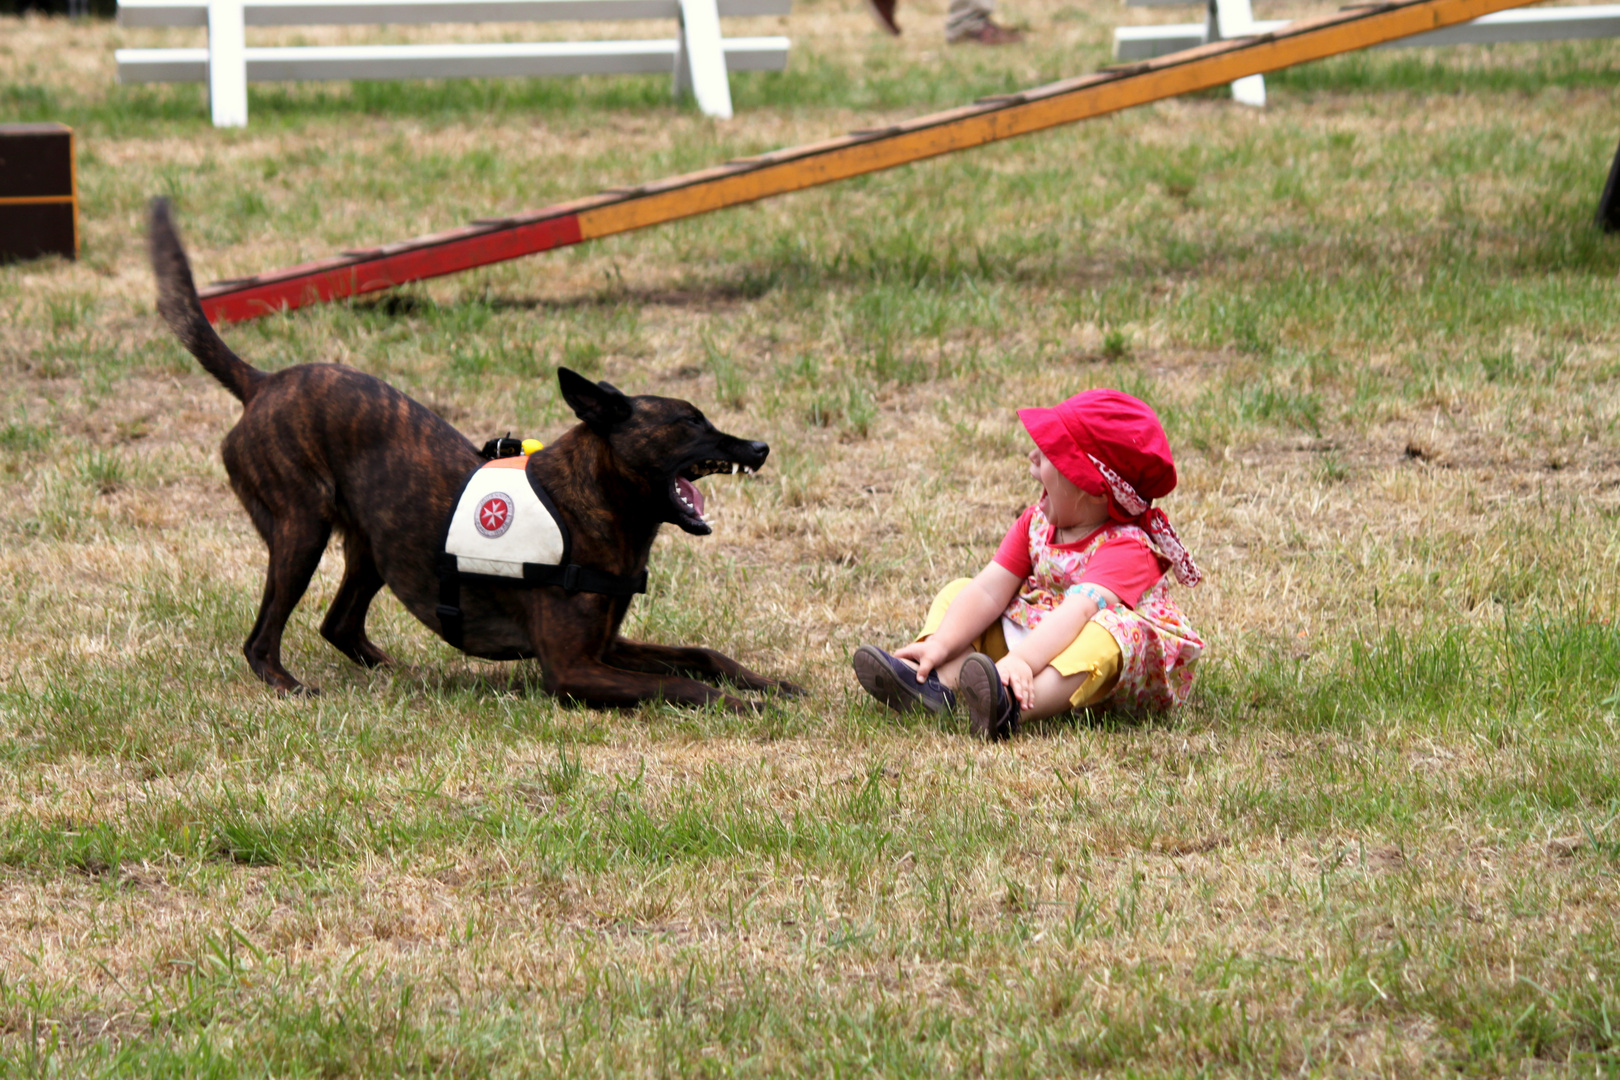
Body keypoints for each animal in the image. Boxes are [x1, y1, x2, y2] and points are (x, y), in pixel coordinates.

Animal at [150, 198, 803, 712]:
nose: (760, 447)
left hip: (376, 544)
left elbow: (702, 654)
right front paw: (745, 705)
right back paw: (289, 685)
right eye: (690, 422)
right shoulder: (574, 670)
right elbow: (684, 686)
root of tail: (262, 383)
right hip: (301, 531)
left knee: (338, 624)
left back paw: (403, 673)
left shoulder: (606, 646)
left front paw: (770, 684)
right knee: (261, 640)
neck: (588, 502)